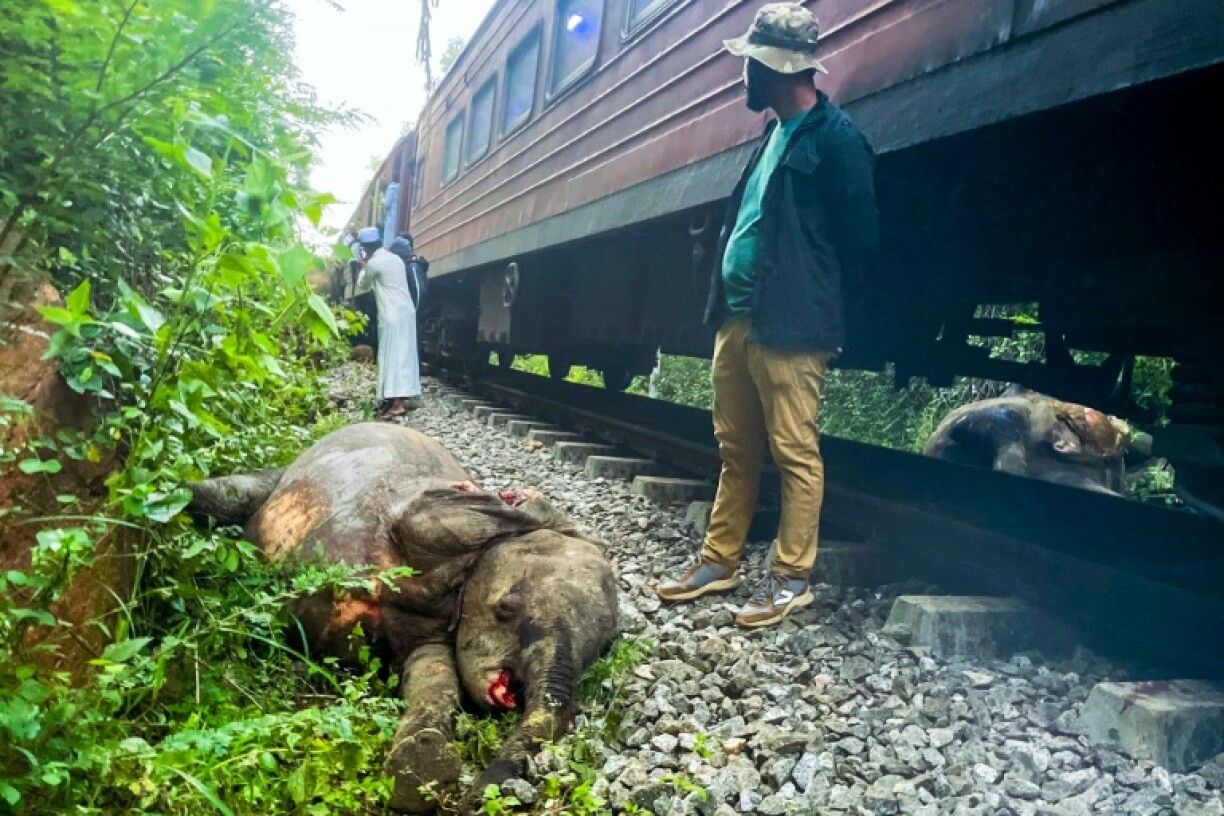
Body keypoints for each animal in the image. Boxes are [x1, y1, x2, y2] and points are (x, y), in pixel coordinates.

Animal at [186, 423, 619, 812]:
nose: (474, 799)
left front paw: (421, 764)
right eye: (506, 609)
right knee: (229, 494)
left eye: (605, 649)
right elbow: (428, 521)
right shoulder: (430, 515)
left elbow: (433, 673)